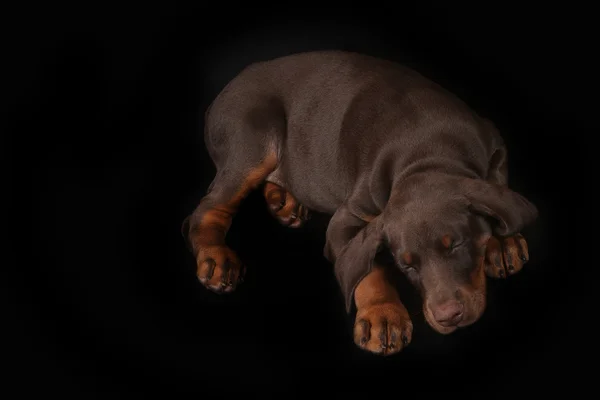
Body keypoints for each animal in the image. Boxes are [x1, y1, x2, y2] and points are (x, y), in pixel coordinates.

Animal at [183, 50, 540, 356]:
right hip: (254, 140)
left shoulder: (494, 145)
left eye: (457, 244)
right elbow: (365, 266)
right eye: (407, 266)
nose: (447, 316)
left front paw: (502, 242)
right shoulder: (349, 216)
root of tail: (226, 90)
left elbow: (497, 185)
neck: (429, 153)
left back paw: (284, 201)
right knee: (207, 210)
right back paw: (216, 258)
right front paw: (383, 315)